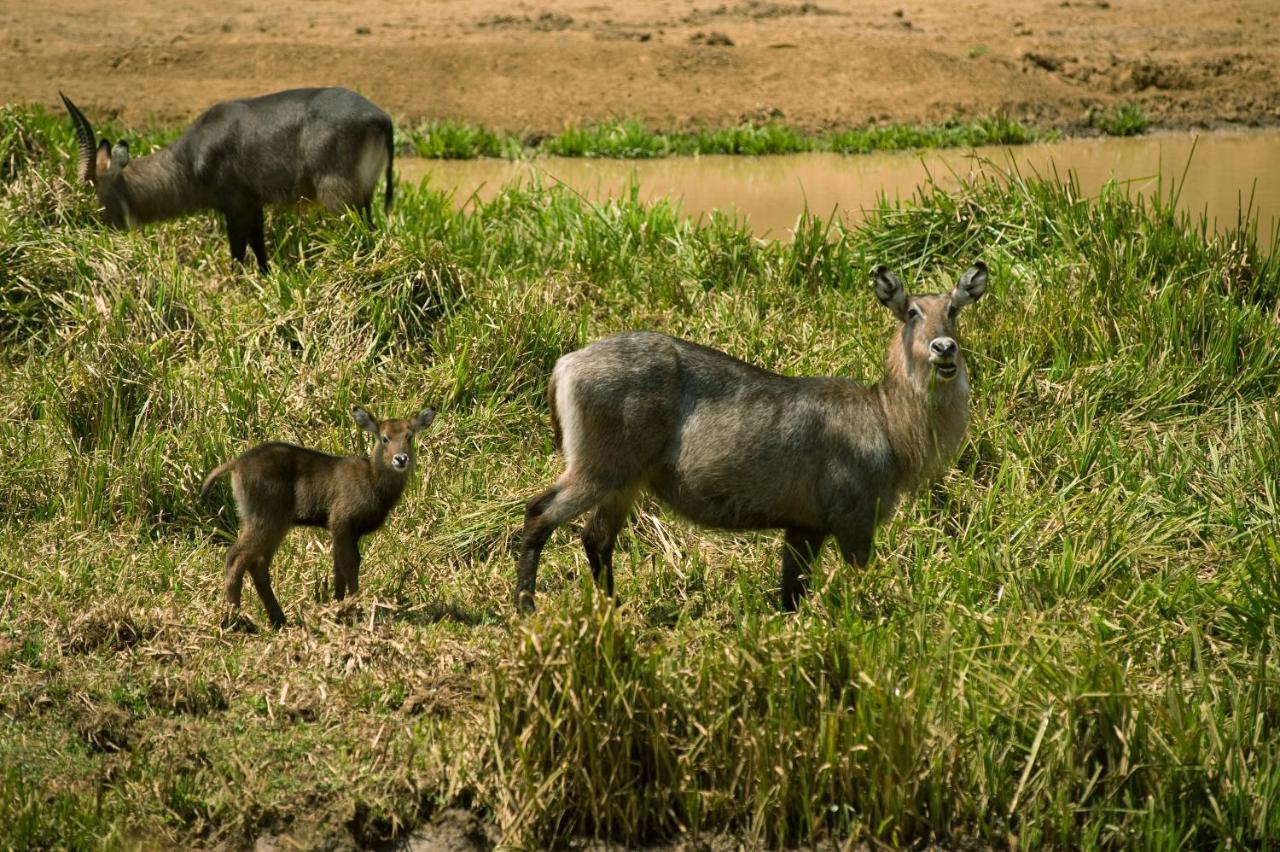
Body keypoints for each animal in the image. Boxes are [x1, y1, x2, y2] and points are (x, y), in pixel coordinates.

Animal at [61, 87, 389, 269]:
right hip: (364, 196)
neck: (189, 158)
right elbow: (259, 250)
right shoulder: (254, 205)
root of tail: (380, 116)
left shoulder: (237, 205)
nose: (101, 238)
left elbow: (237, 253)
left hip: (339, 198)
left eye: (98, 201)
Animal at [200, 404, 435, 624]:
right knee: (236, 557)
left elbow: (338, 566)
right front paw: (354, 608)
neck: (374, 483)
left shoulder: (340, 530)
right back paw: (234, 618)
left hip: (273, 522)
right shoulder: (341, 521)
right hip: (266, 518)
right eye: (384, 438)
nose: (401, 459)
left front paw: (338, 607)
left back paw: (278, 619)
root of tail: (236, 464)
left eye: (409, 436)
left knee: (258, 564)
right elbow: (350, 563)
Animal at [517, 262, 988, 606]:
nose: (944, 348)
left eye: (953, 310)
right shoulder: (854, 519)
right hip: (599, 468)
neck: (887, 421)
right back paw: (527, 607)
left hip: (625, 481)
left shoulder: (804, 526)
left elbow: (791, 593)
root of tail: (565, 363)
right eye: (911, 312)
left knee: (595, 538)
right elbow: (858, 580)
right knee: (540, 512)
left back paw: (611, 611)